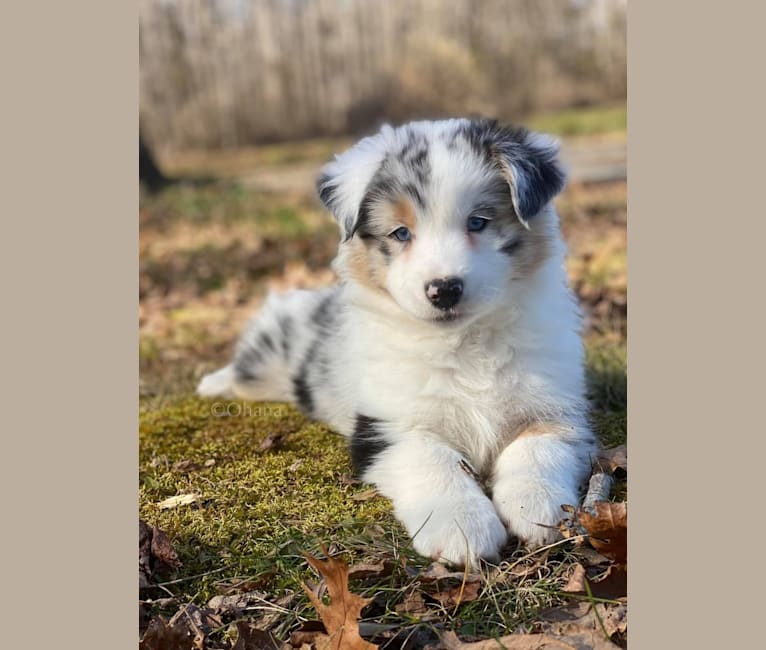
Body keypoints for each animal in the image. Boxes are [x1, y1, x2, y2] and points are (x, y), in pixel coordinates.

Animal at [200, 119, 600, 564]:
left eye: (478, 222)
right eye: (401, 233)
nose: (444, 289)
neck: (465, 341)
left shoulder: (557, 407)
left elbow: (537, 447)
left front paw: (537, 506)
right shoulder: (387, 424)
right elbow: (432, 459)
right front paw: (463, 527)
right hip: (269, 355)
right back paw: (212, 383)